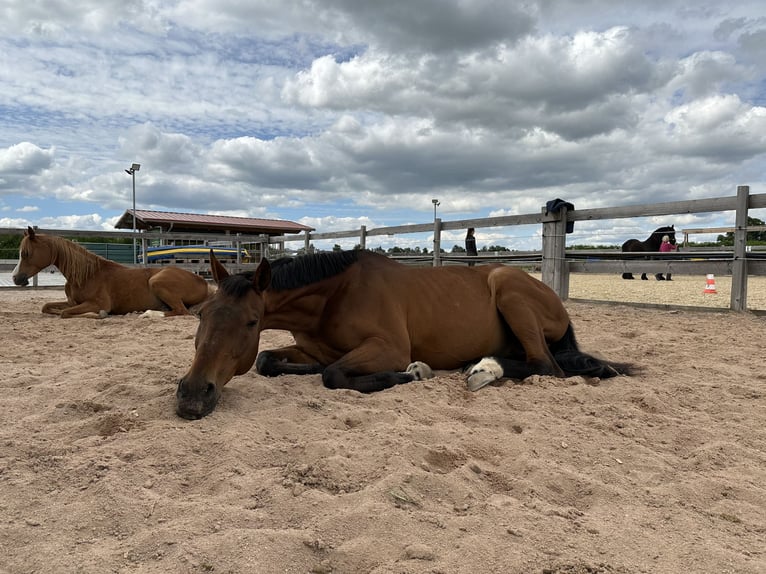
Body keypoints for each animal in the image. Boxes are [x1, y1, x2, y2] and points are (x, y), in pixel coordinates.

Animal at [14, 227, 213, 320]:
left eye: (26, 253)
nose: (16, 278)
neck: (87, 275)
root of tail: (203, 281)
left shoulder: (98, 303)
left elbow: (66, 313)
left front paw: (99, 315)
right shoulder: (72, 302)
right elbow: (47, 307)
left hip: (157, 281)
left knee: (181, 311)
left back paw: (147, 314)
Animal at [176, 251, 636, 418]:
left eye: (251, 322)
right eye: (201, 314)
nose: (192, 394)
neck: (334, 295)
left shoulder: (388, 348)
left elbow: (334, 375)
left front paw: (415, 373)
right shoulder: (312, 349)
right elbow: (270, 361)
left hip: (510, 291)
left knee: (545, 366)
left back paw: (482, 370)